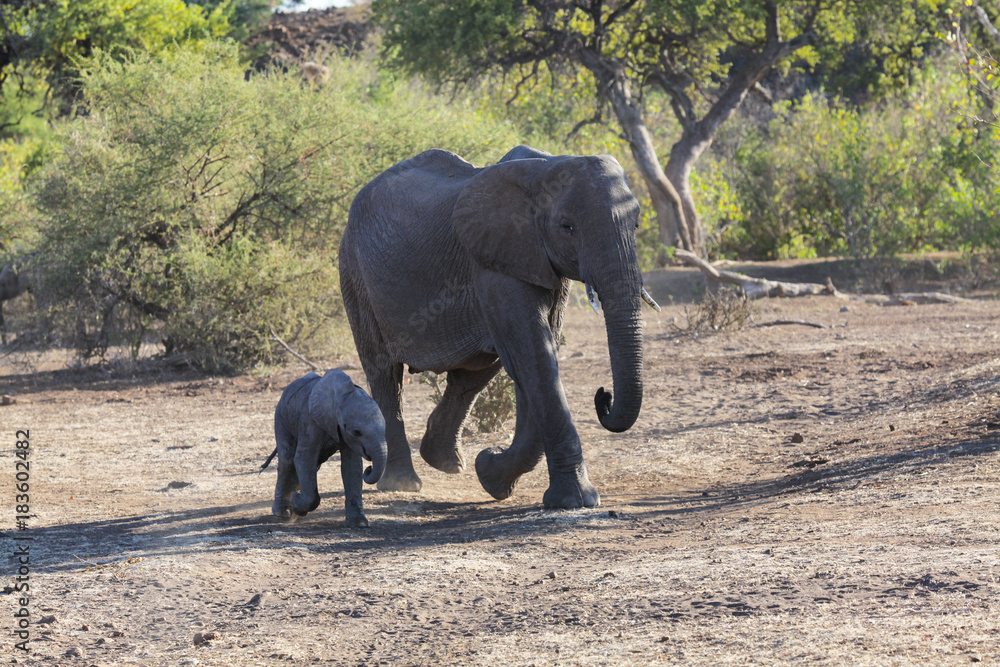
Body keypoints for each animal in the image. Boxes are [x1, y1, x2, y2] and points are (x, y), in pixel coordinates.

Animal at [261, 369, 387, 527]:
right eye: (357, 431)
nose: (369, 468)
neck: (340, 397)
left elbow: (352, 466)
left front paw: (359, 523)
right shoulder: (309, 420)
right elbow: (304, 458)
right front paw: (296, 501)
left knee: (311, 464)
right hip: (281, 417)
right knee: (287, 459)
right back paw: (282, 513)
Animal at [338, 144, 659, 509]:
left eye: (636, 225)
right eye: (567, 227)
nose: (603, 396)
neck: (544, 168)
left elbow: (534, 357)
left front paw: (491, 474)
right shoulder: (494, 262)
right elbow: (533, 356)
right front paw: (575, 500)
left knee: (476, 370)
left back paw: (446, 462)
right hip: (355, 274)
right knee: (385, 373)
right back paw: (402, 483)